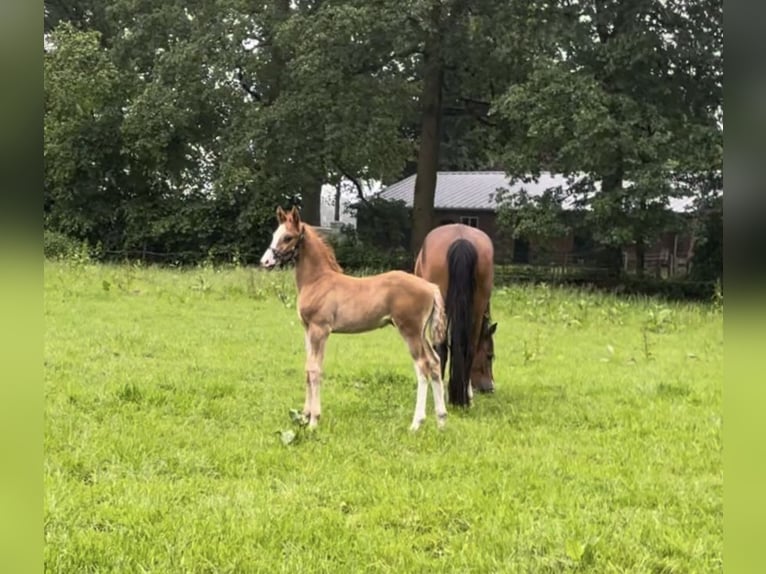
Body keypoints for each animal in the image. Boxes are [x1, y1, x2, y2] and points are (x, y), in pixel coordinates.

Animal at [260, 207, 450, 432]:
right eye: (275, 234)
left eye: (288, 237)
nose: (265, 262)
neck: (317, 280)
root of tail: (430, 286)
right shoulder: (308, 329)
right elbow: (308, 368)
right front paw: (305, 415)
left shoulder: (319, 330)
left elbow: (315, 370)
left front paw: (314, 420)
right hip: (421, 334)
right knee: (435, 362)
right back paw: (441, 420)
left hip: (409, 331)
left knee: (422, 367)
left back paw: (416, 423)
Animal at [414, 224, 498, 410]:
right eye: (489, 355)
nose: (490, 388)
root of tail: (461, 239)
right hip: (477, 306)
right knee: (469, 348)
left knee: (441, 349)